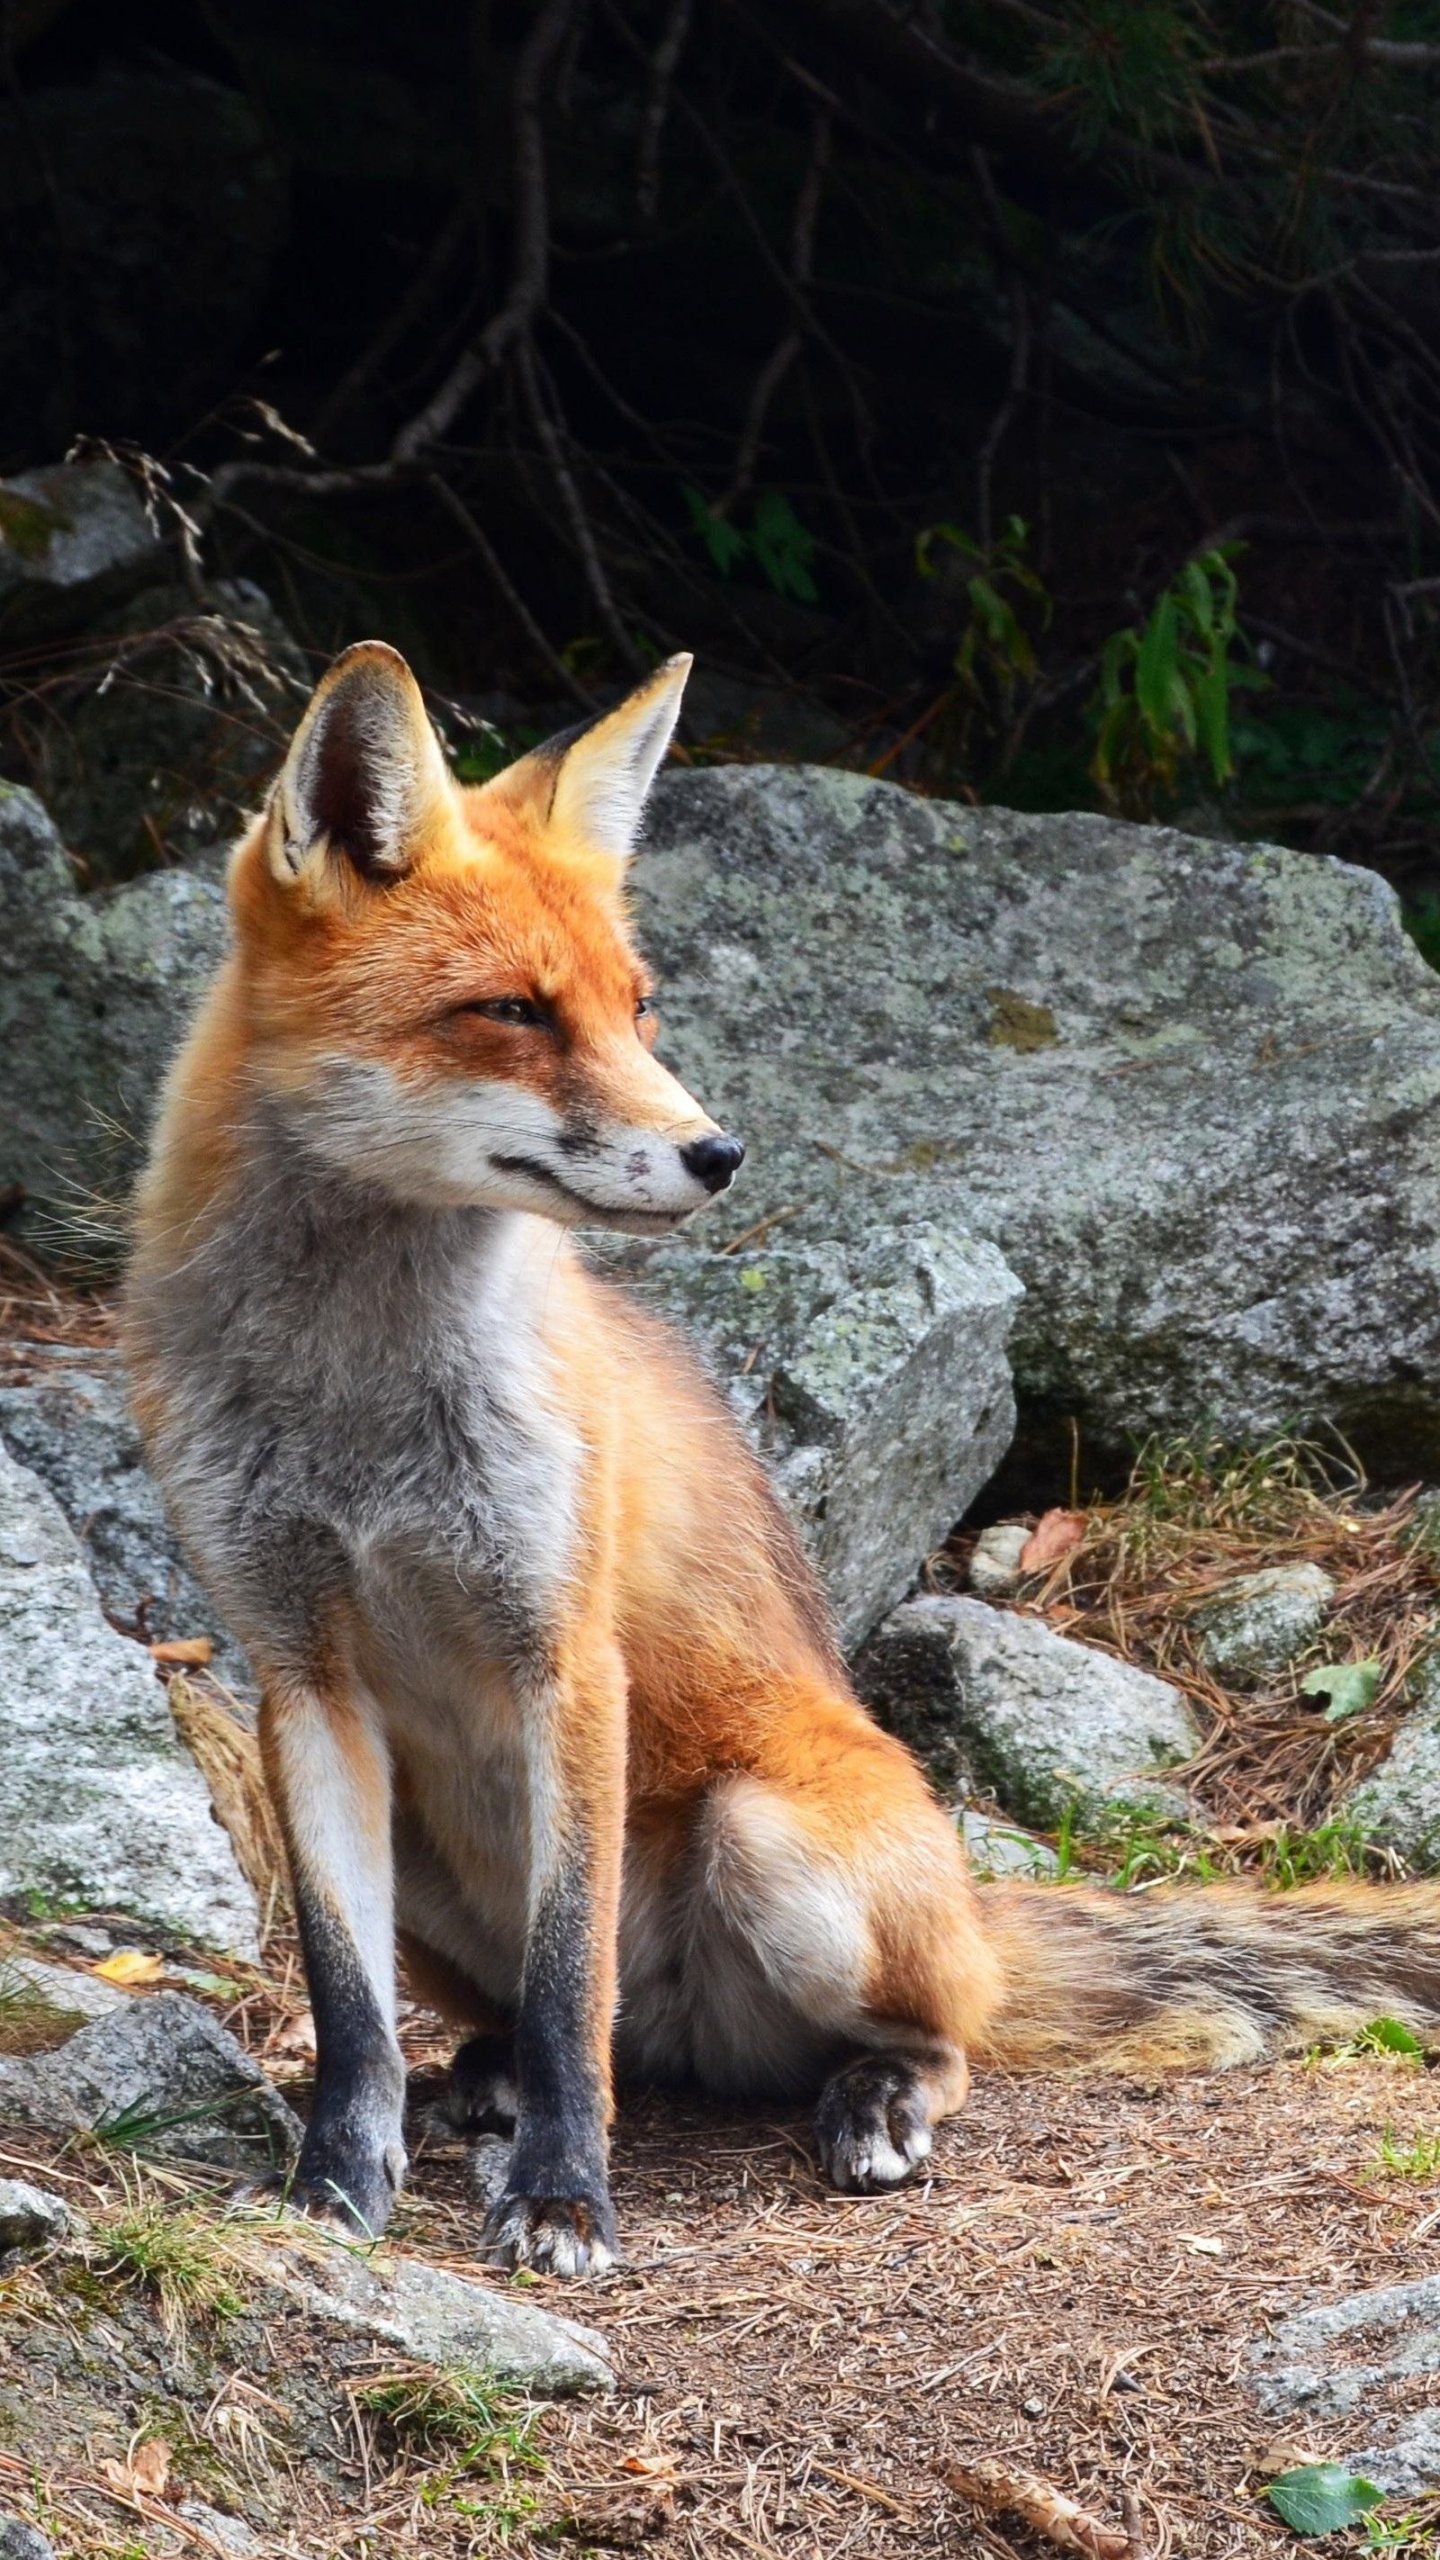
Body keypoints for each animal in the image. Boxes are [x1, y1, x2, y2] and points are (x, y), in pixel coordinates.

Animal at [124, 640, 1440, 2277]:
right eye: (513, 1011)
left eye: (638, 1007)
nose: (718, 1153)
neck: (355, 1406)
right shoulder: (299, 1673)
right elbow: (348, 2007)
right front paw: (333, 2192)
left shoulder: (566, 1654)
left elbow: (569, 1986)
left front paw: (565, 2198)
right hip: (420, 1845)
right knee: (571, 2030)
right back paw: (488, 2079)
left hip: (775, 1842)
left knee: (907, 2035)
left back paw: (869, 2100)